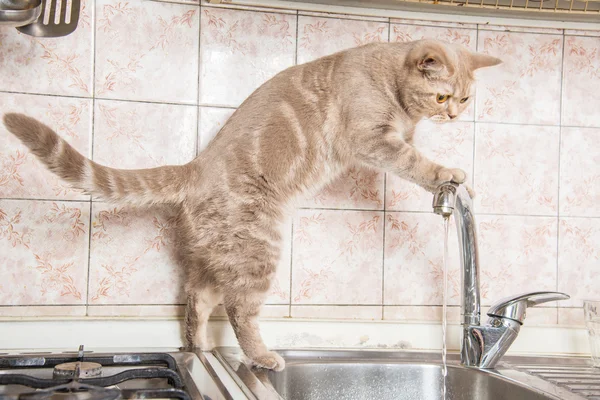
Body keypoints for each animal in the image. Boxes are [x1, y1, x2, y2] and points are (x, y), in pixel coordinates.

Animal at [3, 39, 502, 370]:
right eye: (443, 95)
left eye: (464, 98)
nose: (453, 114)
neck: (393, 91)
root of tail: (196, 166)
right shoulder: (372, 140)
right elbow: (414, 161)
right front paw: (448, 172)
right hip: (259, 250)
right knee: (240, 311)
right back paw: (262, 357)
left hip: (216, 255)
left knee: (196, 299)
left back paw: (198, 349)